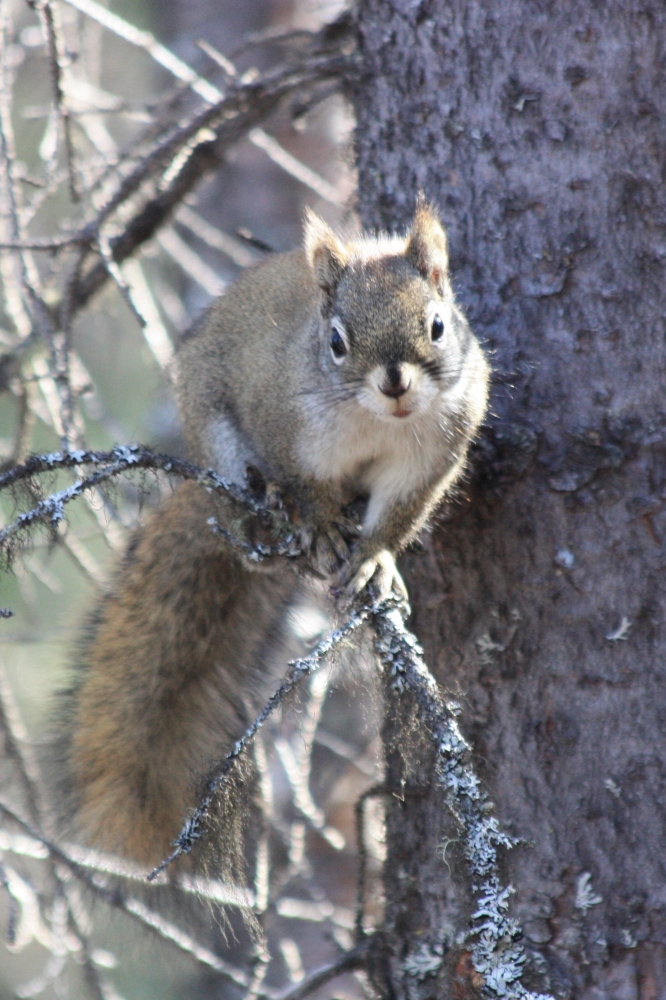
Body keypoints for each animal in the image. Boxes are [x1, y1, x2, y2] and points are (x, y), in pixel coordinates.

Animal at [55, 201, 488, 868]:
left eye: (438, 326)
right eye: (336, 341)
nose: (395, 383)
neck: (380, 423)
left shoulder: (433, 455)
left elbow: (398, 515)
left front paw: (376, 560)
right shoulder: (282, 425)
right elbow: (305, 486)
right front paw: (320, 527)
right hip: (218, 444)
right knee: (244, 511)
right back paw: (263, 520)